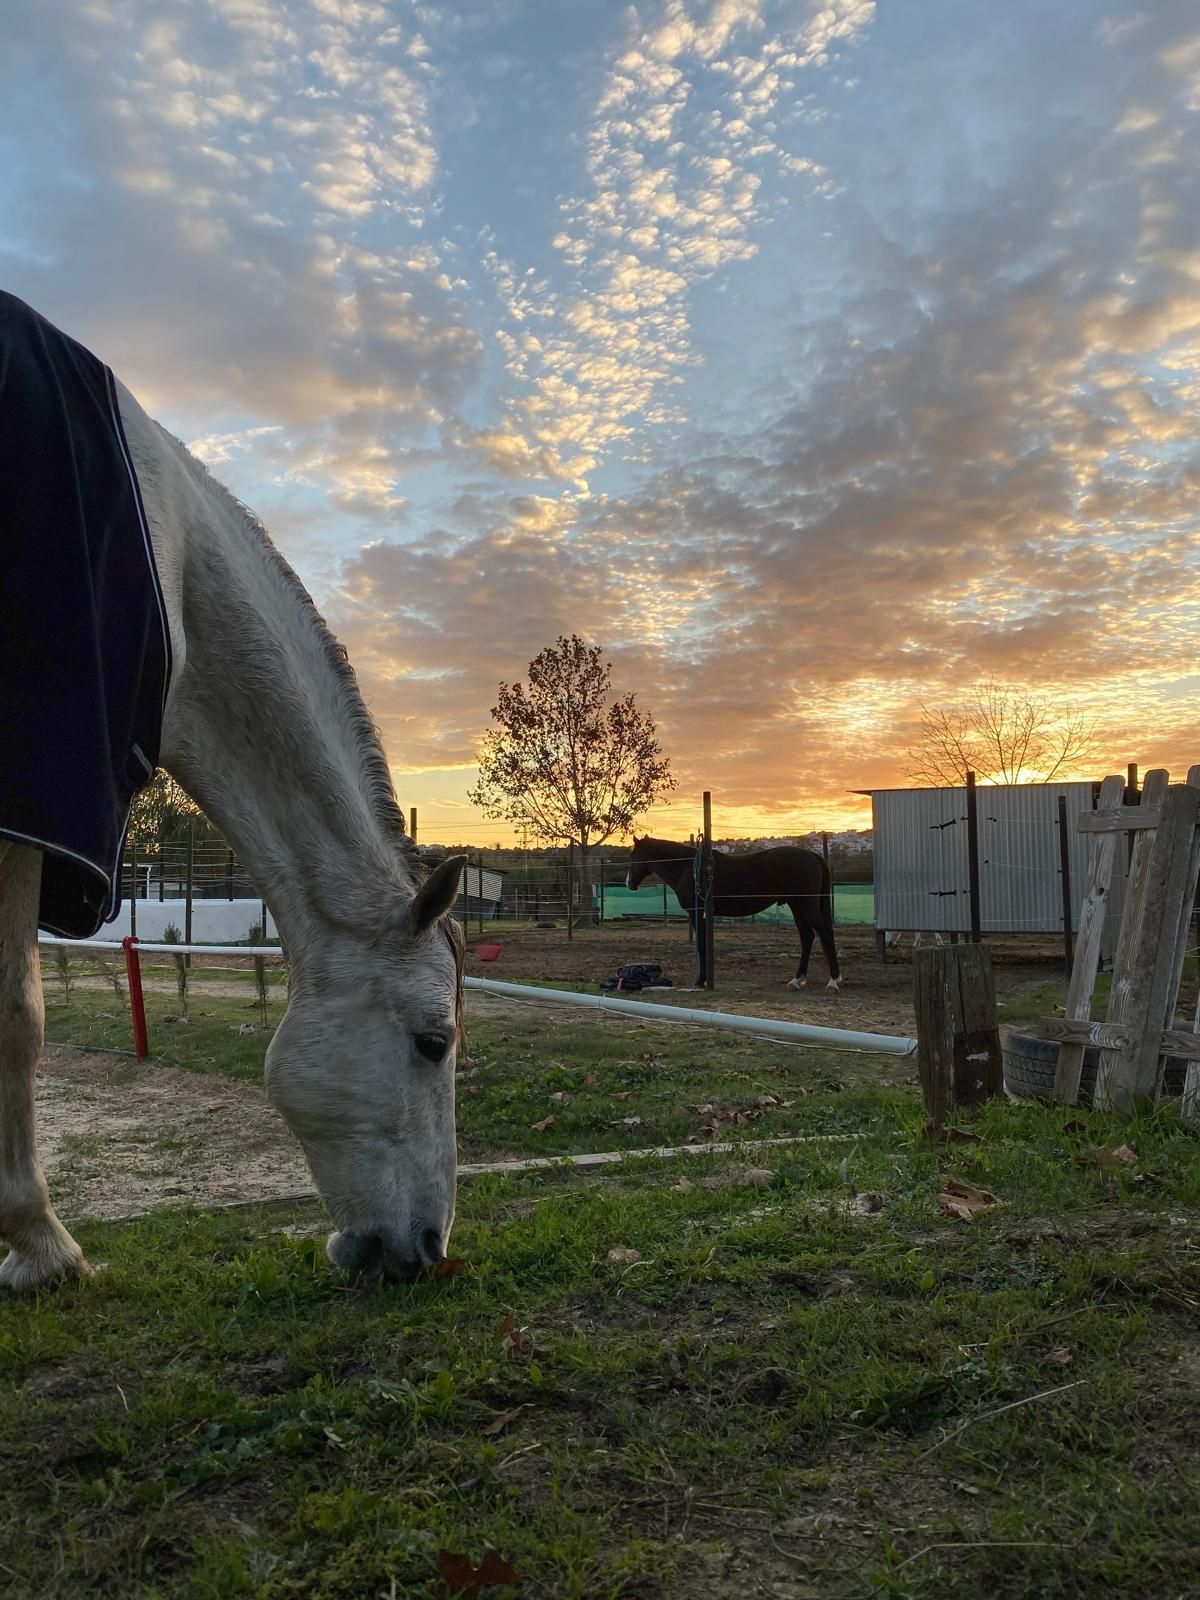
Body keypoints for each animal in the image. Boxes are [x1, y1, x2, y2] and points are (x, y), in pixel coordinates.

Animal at [0, 291, 466, 1291]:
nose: (426, 1251)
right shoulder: (30, 806)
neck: (165, 554)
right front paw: (41, 1246)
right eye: (433, 1043)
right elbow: (20, 1013)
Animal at [625, 836, 842, 990]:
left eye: (633, 856)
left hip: (806, 905)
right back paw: (797, 980)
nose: (629, 883)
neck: (688, 869)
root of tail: (813, 856)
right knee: (807, 937)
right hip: (797, 907)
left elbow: (702, 945)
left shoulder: (697, 914)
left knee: (824, 933)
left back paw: (833, 980)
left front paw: (701, 980)